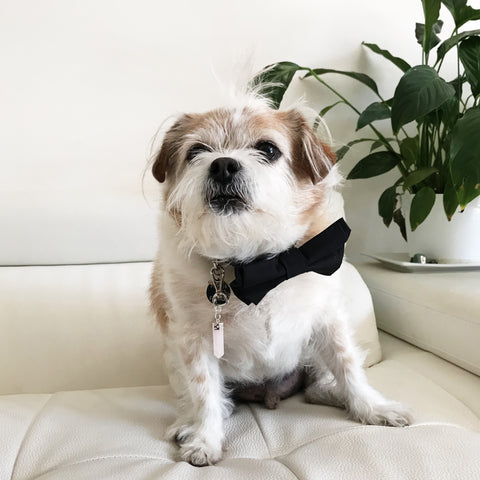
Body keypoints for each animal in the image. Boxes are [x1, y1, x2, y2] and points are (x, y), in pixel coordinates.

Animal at [149, 93, 408, 464]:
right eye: (196, 151)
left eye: (268, 149)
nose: (222, 165)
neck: (256, 263)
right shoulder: (193, 341)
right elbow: (204, 392)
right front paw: (206, 439)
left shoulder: (327, 321)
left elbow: (349, 367)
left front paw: (372, 408)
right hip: (174, 357)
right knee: (204, 398)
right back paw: (187, 423)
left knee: (316, 387)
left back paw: (335, 395)